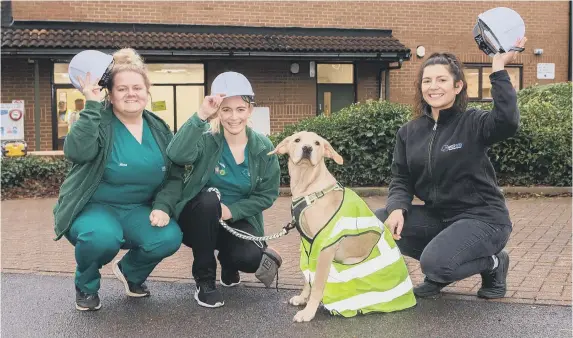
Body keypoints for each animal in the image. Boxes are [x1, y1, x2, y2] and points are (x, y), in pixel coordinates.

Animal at [268, 131, 416, 322]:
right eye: (297, 140)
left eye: (317, 143)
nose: (307, 149)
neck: (309, 187)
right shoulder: (308, 243)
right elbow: (307, 276)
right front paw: (302, 298)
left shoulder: (325, 246)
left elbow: (317, 284)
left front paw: (308, 312)